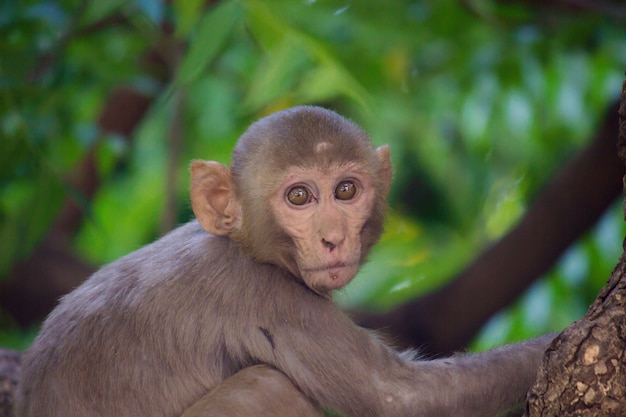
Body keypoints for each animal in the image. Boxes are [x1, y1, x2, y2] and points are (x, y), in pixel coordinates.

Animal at [17, 106, 548, 416]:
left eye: (346, 191)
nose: (333, 238)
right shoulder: (265, 296)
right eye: (299, 197)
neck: (241, 244)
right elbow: (401, 398)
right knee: (267, 385)